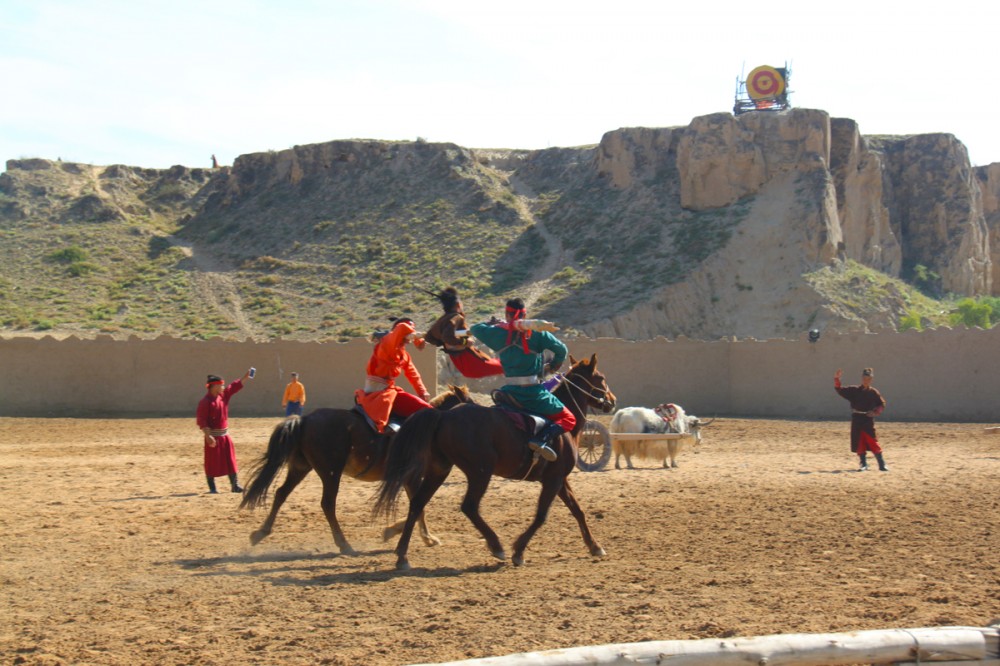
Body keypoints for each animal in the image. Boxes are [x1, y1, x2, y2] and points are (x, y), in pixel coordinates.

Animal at [243, 382, 476, 552]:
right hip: (330, 473)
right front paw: (399, 533)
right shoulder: (412, 476)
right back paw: (344, 544)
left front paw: (421, 537)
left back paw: (261, 532)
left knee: (281, 493)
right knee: (327, 504)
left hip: (301, 467)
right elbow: (419, 505)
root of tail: (304, 419)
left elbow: (418, 505)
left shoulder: (409, 478)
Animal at [374, 356, 612, 568]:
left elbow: (577, 510)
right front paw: (518, 551)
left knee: (417, 503)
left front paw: (594, 546)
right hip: (480, 472)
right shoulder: (553, 480)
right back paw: (496, 546)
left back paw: (402, 556)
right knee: (469, 506)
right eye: (600, 378)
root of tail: (443, 416)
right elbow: (541, 516)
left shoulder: (560, 479)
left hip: (439, 470)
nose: (612, 400)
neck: (562, 428)